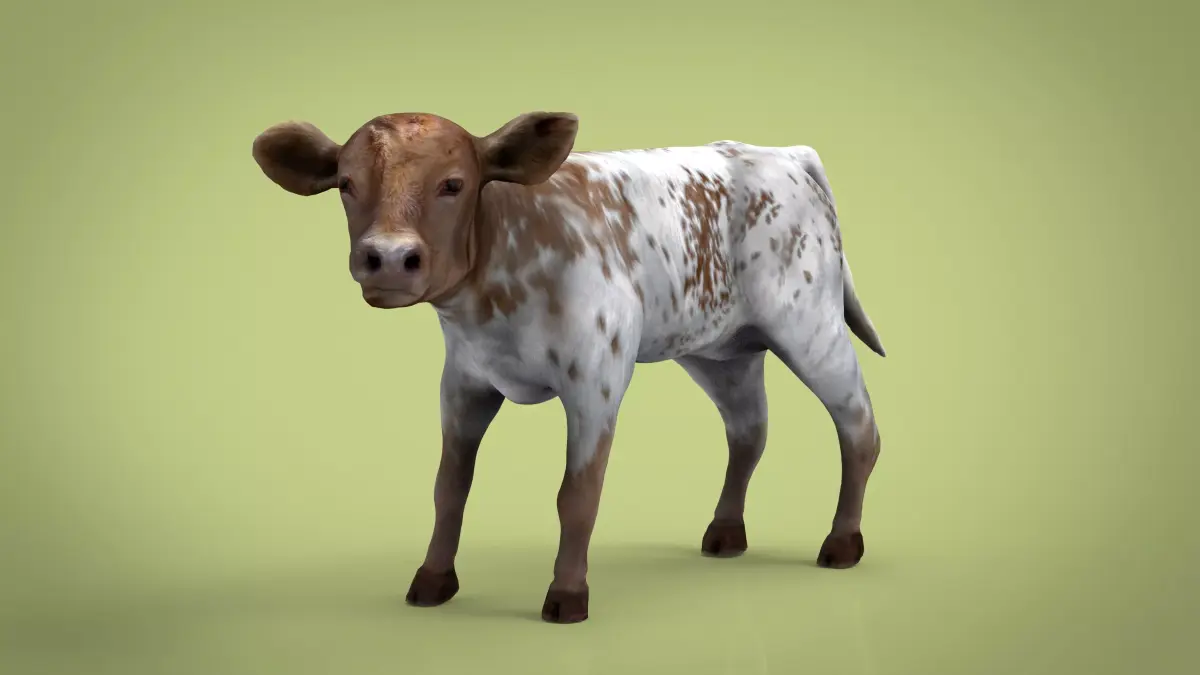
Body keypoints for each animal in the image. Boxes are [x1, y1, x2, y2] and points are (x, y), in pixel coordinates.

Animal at [251, 110, 886, 624]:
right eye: (347, 184)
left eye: (454, 184)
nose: (386, 257)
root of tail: (780, 153)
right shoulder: (463, 380)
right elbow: (449, 487)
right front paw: (432, 580)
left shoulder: (595, 379)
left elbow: (577, 494)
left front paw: (567, 595)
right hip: (719, 350)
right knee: (749, 430)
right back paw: (726, 533)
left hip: (810, 322)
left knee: (859, 427)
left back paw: (842, 544)